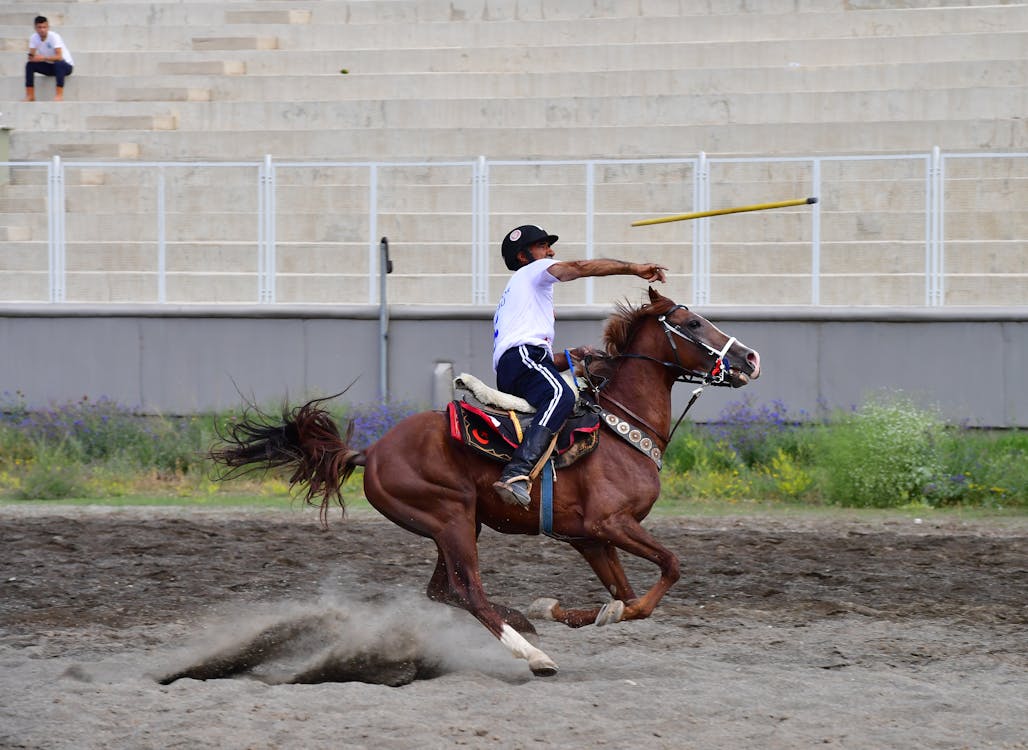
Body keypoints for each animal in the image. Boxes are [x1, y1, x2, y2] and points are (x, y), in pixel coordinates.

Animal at [208, 285, 760, 673]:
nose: (750, 358)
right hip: (451, 520)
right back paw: (533, 656)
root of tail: (372, 450)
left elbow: (623, 597)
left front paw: (561, 609)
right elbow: (667, 569)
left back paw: (522, 620)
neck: (619, 429)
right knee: (467, 591)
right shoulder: (611, 525)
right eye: (691, 322)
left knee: (443, 591)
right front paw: (587, 613)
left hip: (457, 525)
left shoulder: (590, 539)